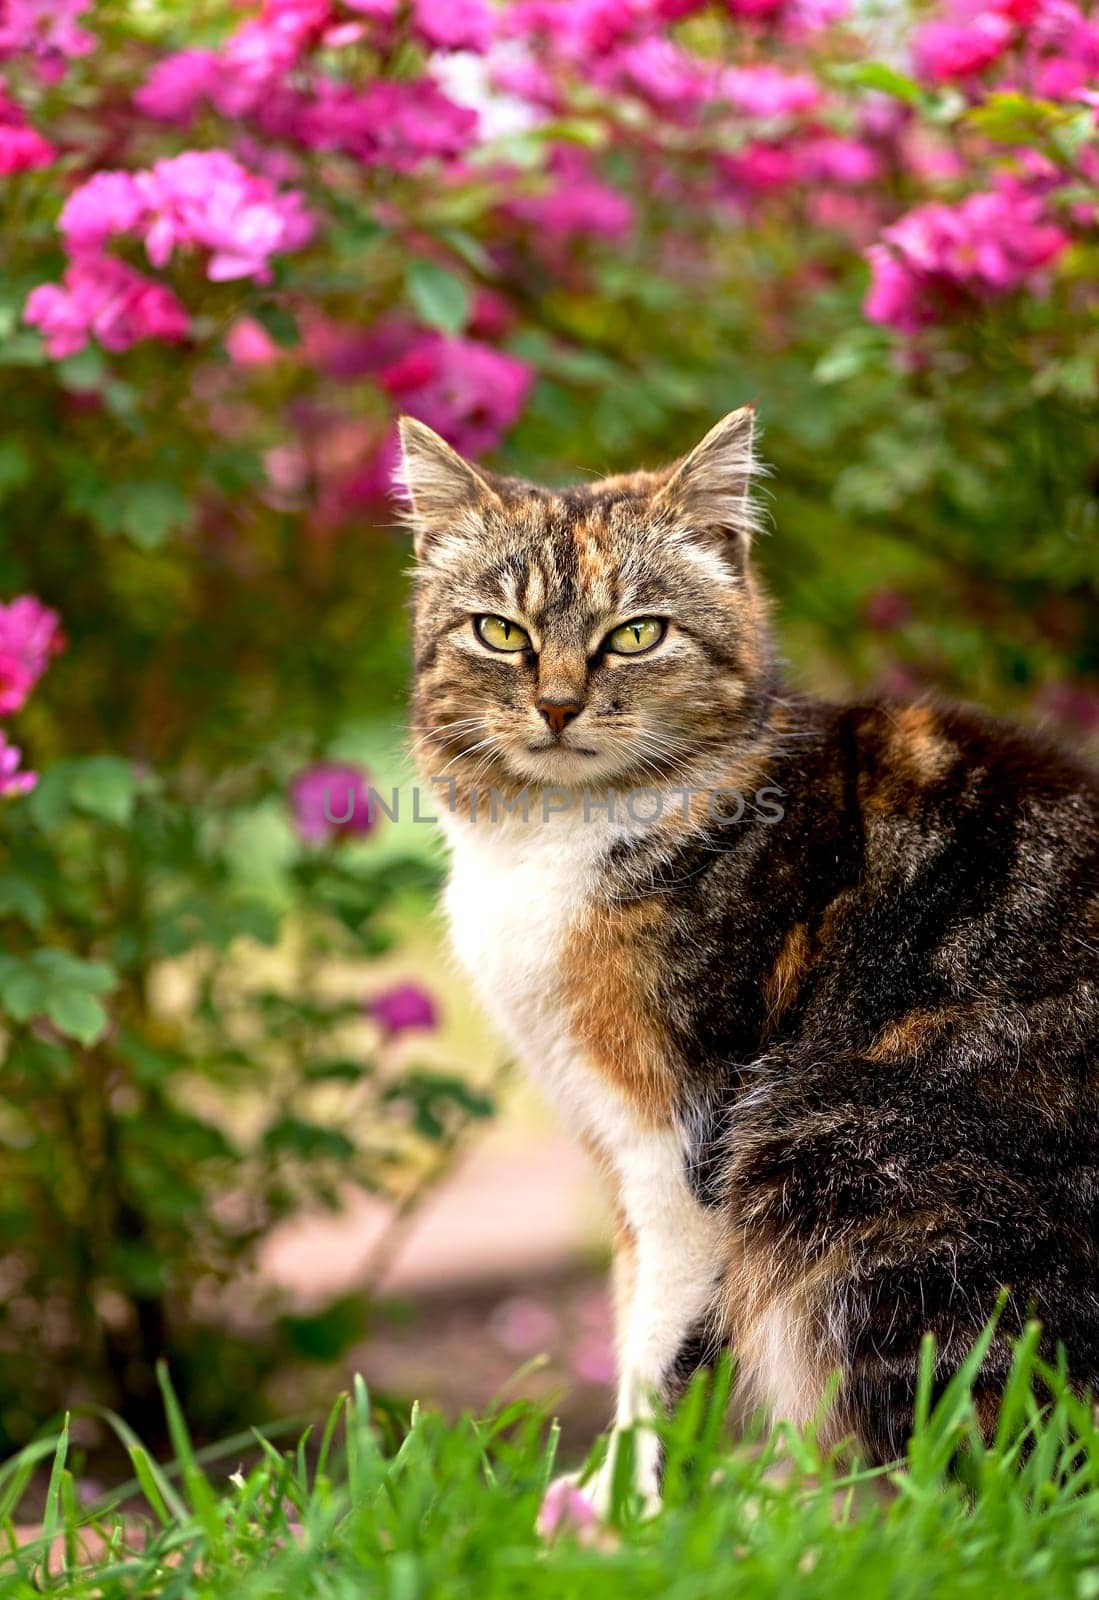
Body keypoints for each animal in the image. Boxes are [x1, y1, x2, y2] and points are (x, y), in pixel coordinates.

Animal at [399, 409, 1099, 1510]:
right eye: (499, 632)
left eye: (636, 633)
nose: (555, 704)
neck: (548, 841)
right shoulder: (611, 1141)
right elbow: (628, 1301)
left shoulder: (683, 1131)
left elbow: (658, 1343)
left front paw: (627, 1514)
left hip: (832, 1157)